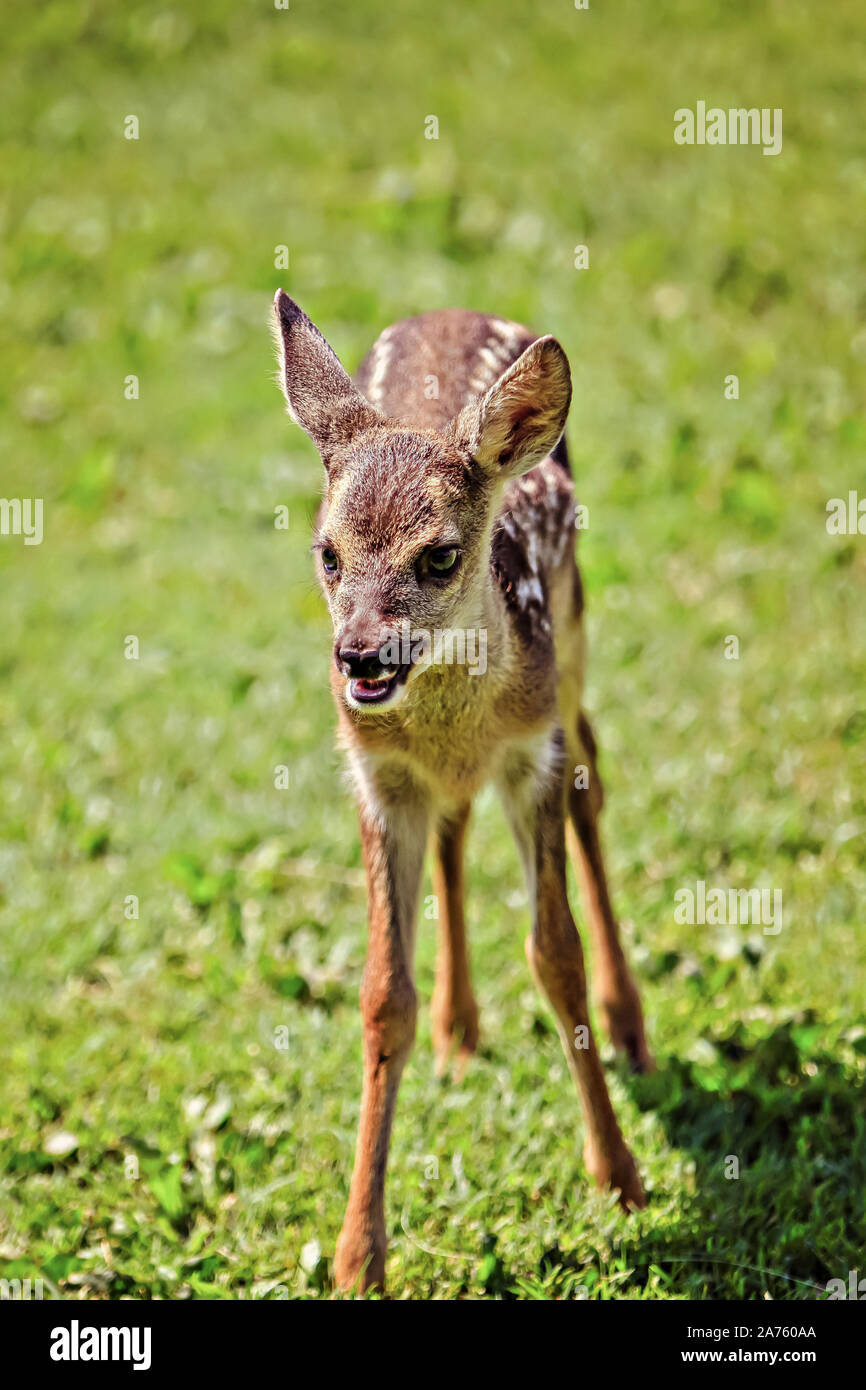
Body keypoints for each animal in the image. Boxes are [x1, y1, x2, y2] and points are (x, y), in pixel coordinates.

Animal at [273, 290, 653, 1289]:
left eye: (440, 557)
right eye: (328, 553)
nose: (359, 656)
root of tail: (455, 305)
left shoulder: (529, 755)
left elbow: (555, 955)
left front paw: (621, 1176)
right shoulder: (379, 780)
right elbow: (381, 994)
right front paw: (358, 1255)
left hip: (575, 640)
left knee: (594, 776)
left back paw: (630, 1024)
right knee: (456, 827)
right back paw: (458, 1031)